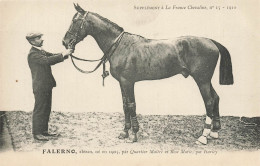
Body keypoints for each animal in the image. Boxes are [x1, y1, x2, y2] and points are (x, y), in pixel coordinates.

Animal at [62, 3, 234, 144]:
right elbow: (125, 105)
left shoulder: (128, 82)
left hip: (202, 80)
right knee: (216, 98)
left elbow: (131, 105)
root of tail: (211, 41)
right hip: (206, 80)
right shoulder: (122, 83)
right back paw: (214, 132)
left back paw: (204, 136)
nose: (65, 42)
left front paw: (133, 134)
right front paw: (124, 132)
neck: (120, 46)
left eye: (75, 21)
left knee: (209, 101)